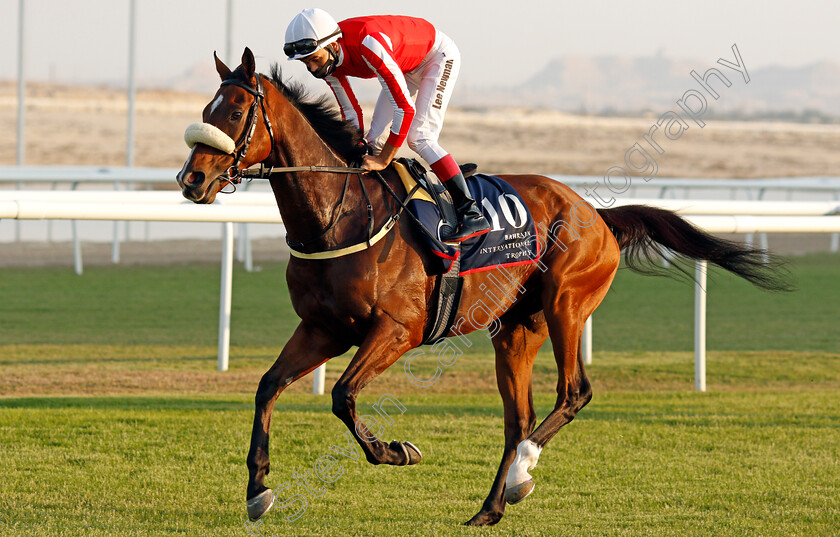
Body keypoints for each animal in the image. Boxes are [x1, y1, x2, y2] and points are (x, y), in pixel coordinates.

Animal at [176, 48, 788, 524]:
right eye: (205, 111)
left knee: (574, 392)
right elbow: (267, 387)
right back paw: (490, 506)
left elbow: (343, 395)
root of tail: (597, 214)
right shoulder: (323, 328)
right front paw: (258, 491)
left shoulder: (397, 330)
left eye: (235, 110)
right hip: (515, 330)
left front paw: (397, 451)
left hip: (566, 305)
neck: (340, 217)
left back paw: (522, 474)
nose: (191, 180)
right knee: (518, 418)